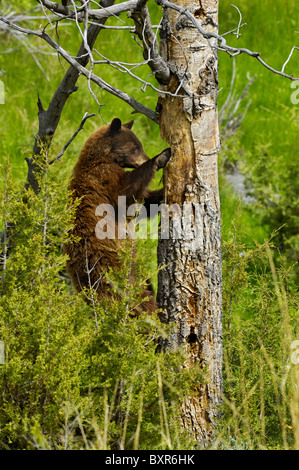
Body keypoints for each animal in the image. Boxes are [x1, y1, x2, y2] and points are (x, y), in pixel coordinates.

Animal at [64, 119, 171, 314]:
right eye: (136, 147)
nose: (144, 157)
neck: (101, 157)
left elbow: (141, 202)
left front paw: (161, 195)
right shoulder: (104, 177)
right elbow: (126, 192)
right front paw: (162, 156)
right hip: (115, 266)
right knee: (140, 296)